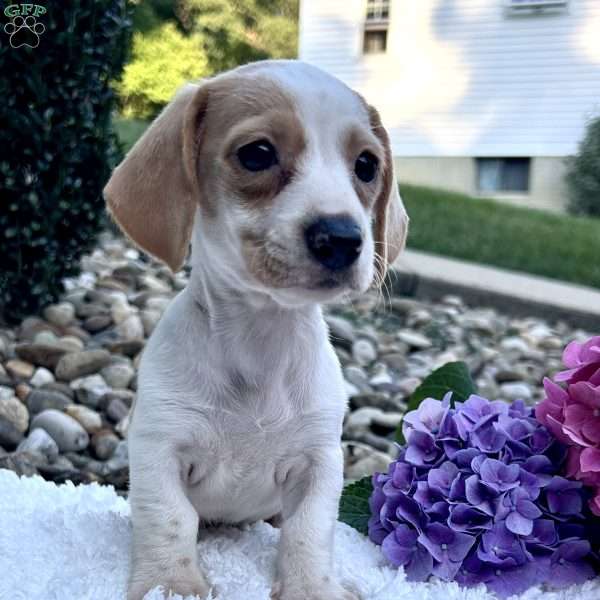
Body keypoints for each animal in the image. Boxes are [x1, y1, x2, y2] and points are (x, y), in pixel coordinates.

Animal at [105, 59, 410, 600]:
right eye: (257, 154)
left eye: (367, 165)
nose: (342, 238)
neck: (261, 340)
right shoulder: (160, 447)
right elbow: (169, 518)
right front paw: (170, 584)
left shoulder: (319, 461)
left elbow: (309, 530)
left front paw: (312, 589)